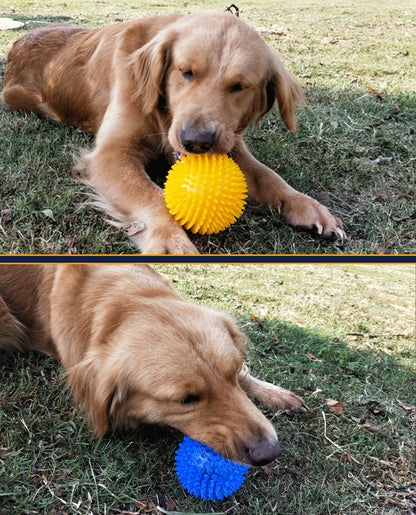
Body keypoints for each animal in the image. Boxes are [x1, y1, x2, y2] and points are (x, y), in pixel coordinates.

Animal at [1, 12, 344, 254]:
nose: (196, 141)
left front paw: (308, 206)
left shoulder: (230, 142)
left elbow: (268, 175)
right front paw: (170, 240)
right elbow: (151, 196)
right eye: (186, 72)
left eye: (239, 86)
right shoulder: (111, 154)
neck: (163, 116)